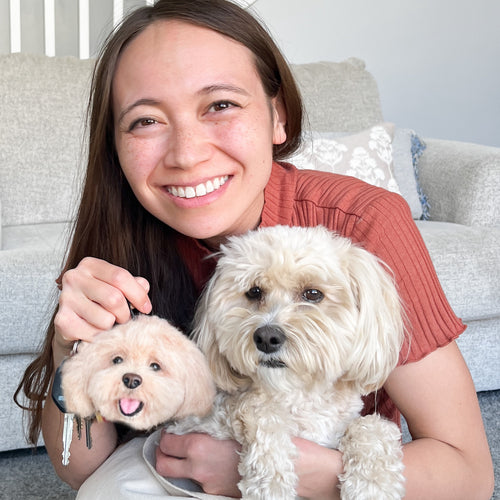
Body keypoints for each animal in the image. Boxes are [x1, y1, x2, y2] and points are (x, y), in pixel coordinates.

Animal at [168, 227, 406, 500]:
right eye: (254, 292)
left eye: (313, 294)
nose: (266, 338)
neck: (299, 395)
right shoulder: (202, 420)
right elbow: (261, 412)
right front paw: (270, 486)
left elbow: (373, 427)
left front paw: (373, 485)